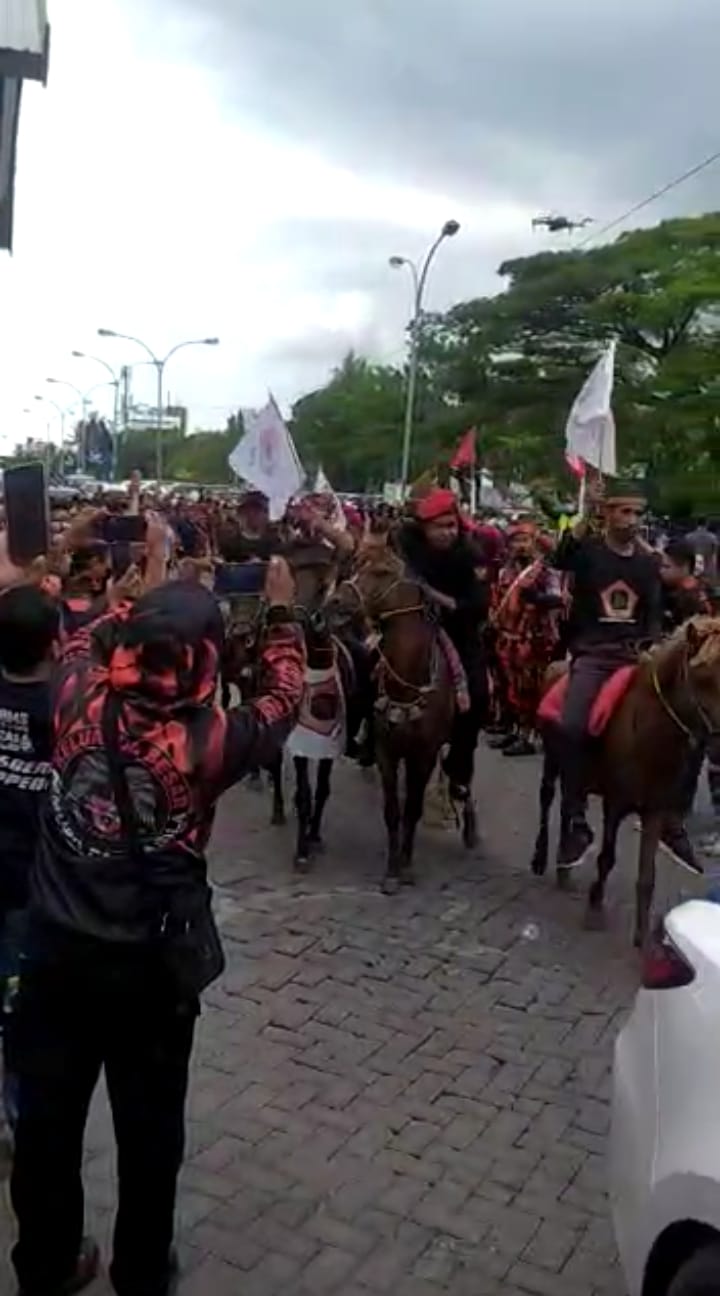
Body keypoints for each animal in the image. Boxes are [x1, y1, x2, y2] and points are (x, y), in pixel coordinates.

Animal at [336, 544, 455, 891]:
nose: (335, 601)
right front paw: (391, 869)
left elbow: (412, 809)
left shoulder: (424, 755)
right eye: (356, 564)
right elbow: (392, 810)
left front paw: (406, 865)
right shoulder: (385, 751)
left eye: (383, 572)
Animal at [530, 622, 720, 948]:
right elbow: (607, 857)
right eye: (704, 674)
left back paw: (565, 863)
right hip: (552, 762)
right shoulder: (615, 803)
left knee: (569, 807)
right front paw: (594, 908)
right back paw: (543, 859)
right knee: (547, 800)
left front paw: (643, 938)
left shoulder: (654, 810)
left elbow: (647, 876)